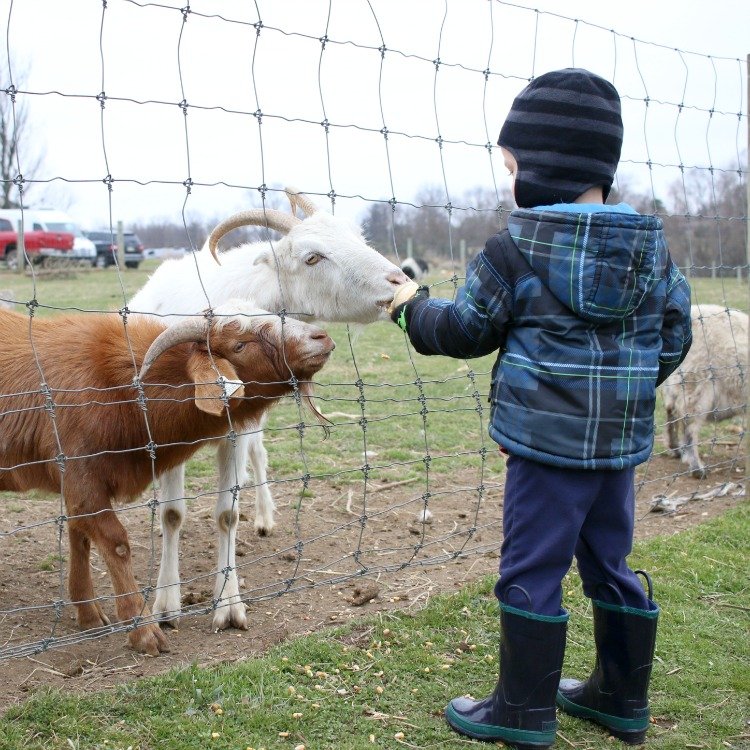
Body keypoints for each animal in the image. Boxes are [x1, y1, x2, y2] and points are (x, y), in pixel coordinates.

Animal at [0, 302, 334, 656]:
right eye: (239, 345)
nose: (321, 337)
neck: (120, 389)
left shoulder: (79, 481)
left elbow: (81, 537)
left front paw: (89, 614)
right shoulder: (82, 475)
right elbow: (115, 542)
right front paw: (144, 631)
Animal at [129, 187, 412, 628]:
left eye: (358, 237)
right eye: (312, 257)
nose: (400, 281)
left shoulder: (238, 426)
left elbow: (227, 513)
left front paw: (228, 605)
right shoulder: (166, 431)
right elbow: (172, 515)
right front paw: (166, 604)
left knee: (258, 455)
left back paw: (263, 518)